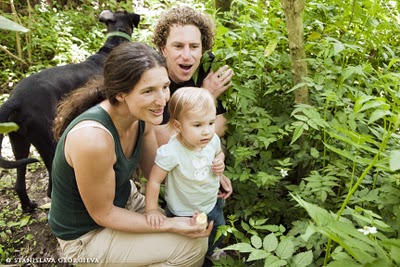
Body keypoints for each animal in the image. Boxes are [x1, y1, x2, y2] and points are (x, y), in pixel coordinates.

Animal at [0, 9, 141, 213]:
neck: (114, 43)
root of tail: (14, 100)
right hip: (49, 141)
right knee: (51, 189)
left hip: (19, 141)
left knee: (19, 182)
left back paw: (28, 206)